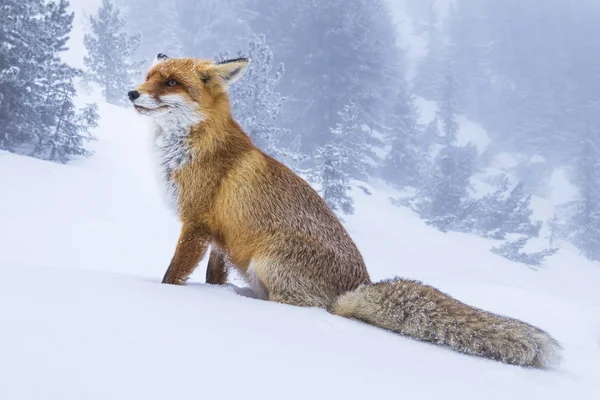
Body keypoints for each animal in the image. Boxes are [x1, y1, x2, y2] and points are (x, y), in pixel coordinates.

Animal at [127, 54, 564, 368]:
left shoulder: (196, 225)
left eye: (171, 82)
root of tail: (358, 285)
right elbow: (211, 277)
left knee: (301, 308)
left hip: (268, 258)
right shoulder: (219, 238)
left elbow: (172, 275)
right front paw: (212, 293)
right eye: (149, 75)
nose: (131, 92)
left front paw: (167, 295)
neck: (189, 149)